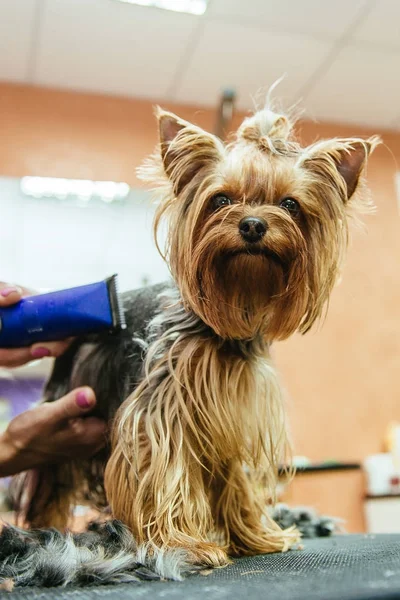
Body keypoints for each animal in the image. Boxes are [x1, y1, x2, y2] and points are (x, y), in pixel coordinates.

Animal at [0, 102, 378, 584]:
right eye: (221, 200)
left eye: (290, 204)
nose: (253, 224)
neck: (231, 315)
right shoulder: (161, 411)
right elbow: (165, 471)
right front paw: (186, 544)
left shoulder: (232, 409)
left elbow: (236, 480)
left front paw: (256, 536)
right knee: (50, 480)